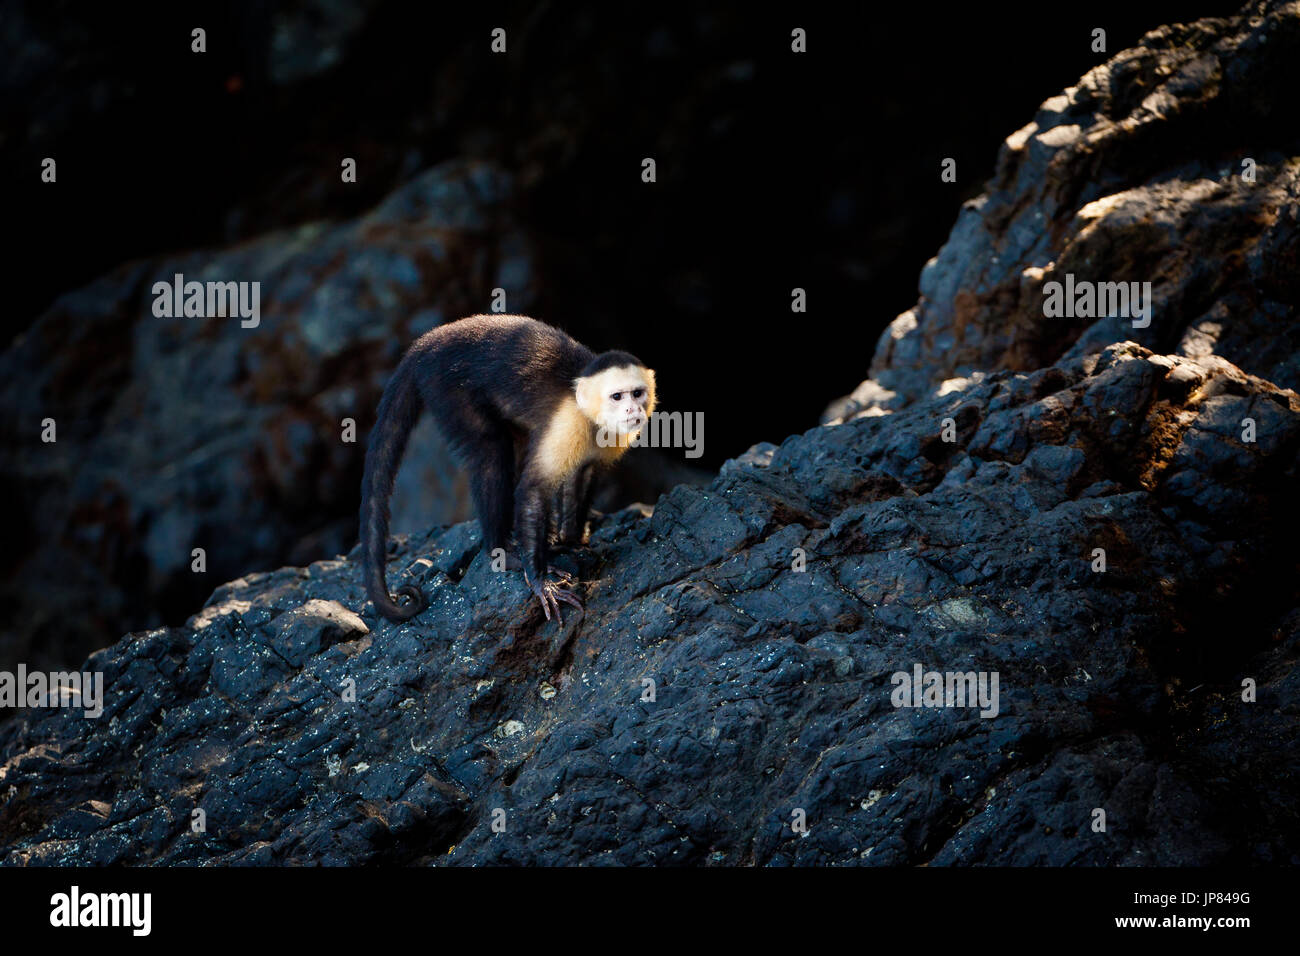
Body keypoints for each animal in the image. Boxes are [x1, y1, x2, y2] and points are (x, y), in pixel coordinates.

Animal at [358, 314, 655, 624]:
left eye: (637, 394)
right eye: (617, 397)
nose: (633, 411)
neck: (589, 414)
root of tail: (428, 340)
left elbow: (581, 476)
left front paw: (572, 540)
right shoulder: (567, 422)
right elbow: (534, 489)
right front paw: (541, 581)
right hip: (446, 385)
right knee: (492, 452)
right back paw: (501, 552)